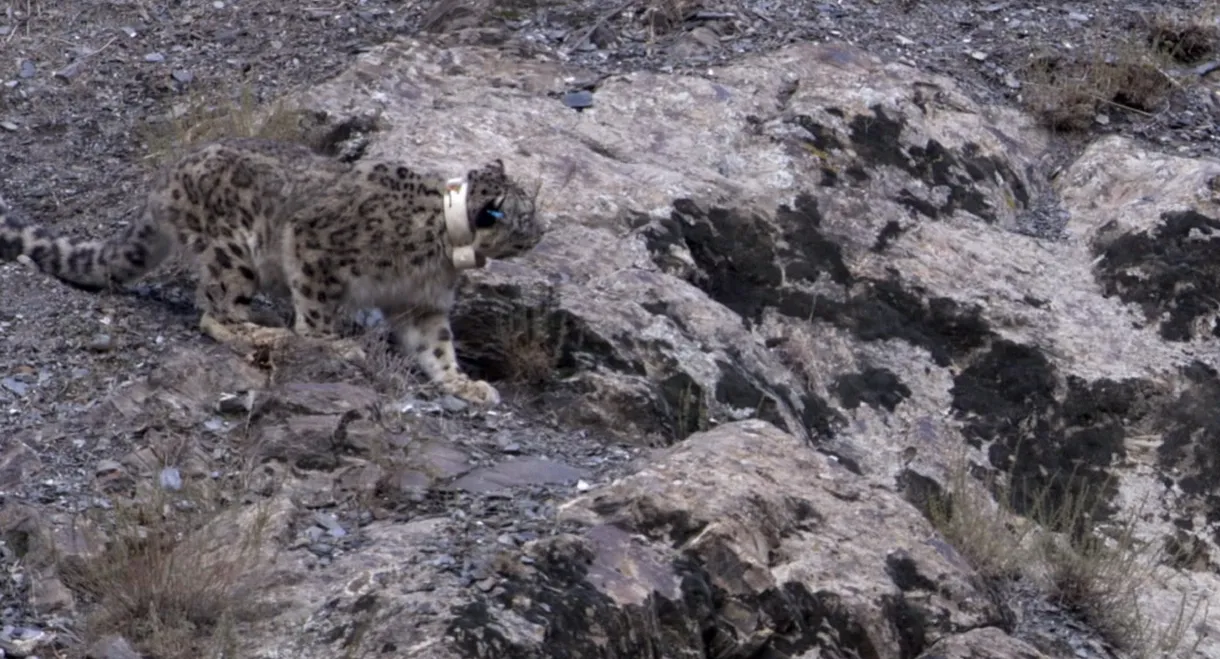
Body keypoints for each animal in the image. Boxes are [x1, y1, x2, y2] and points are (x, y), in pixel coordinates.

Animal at [0, 137, 543, 406]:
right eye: (527, 214)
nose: (544, 230)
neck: (440, 252)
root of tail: (165, 180)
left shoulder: (421, 303)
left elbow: (437, 348)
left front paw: (462, 384)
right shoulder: (315, 244)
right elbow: (316, 309)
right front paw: (332, 343)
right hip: (233, 255)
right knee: (215, 312)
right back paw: (266, 332)